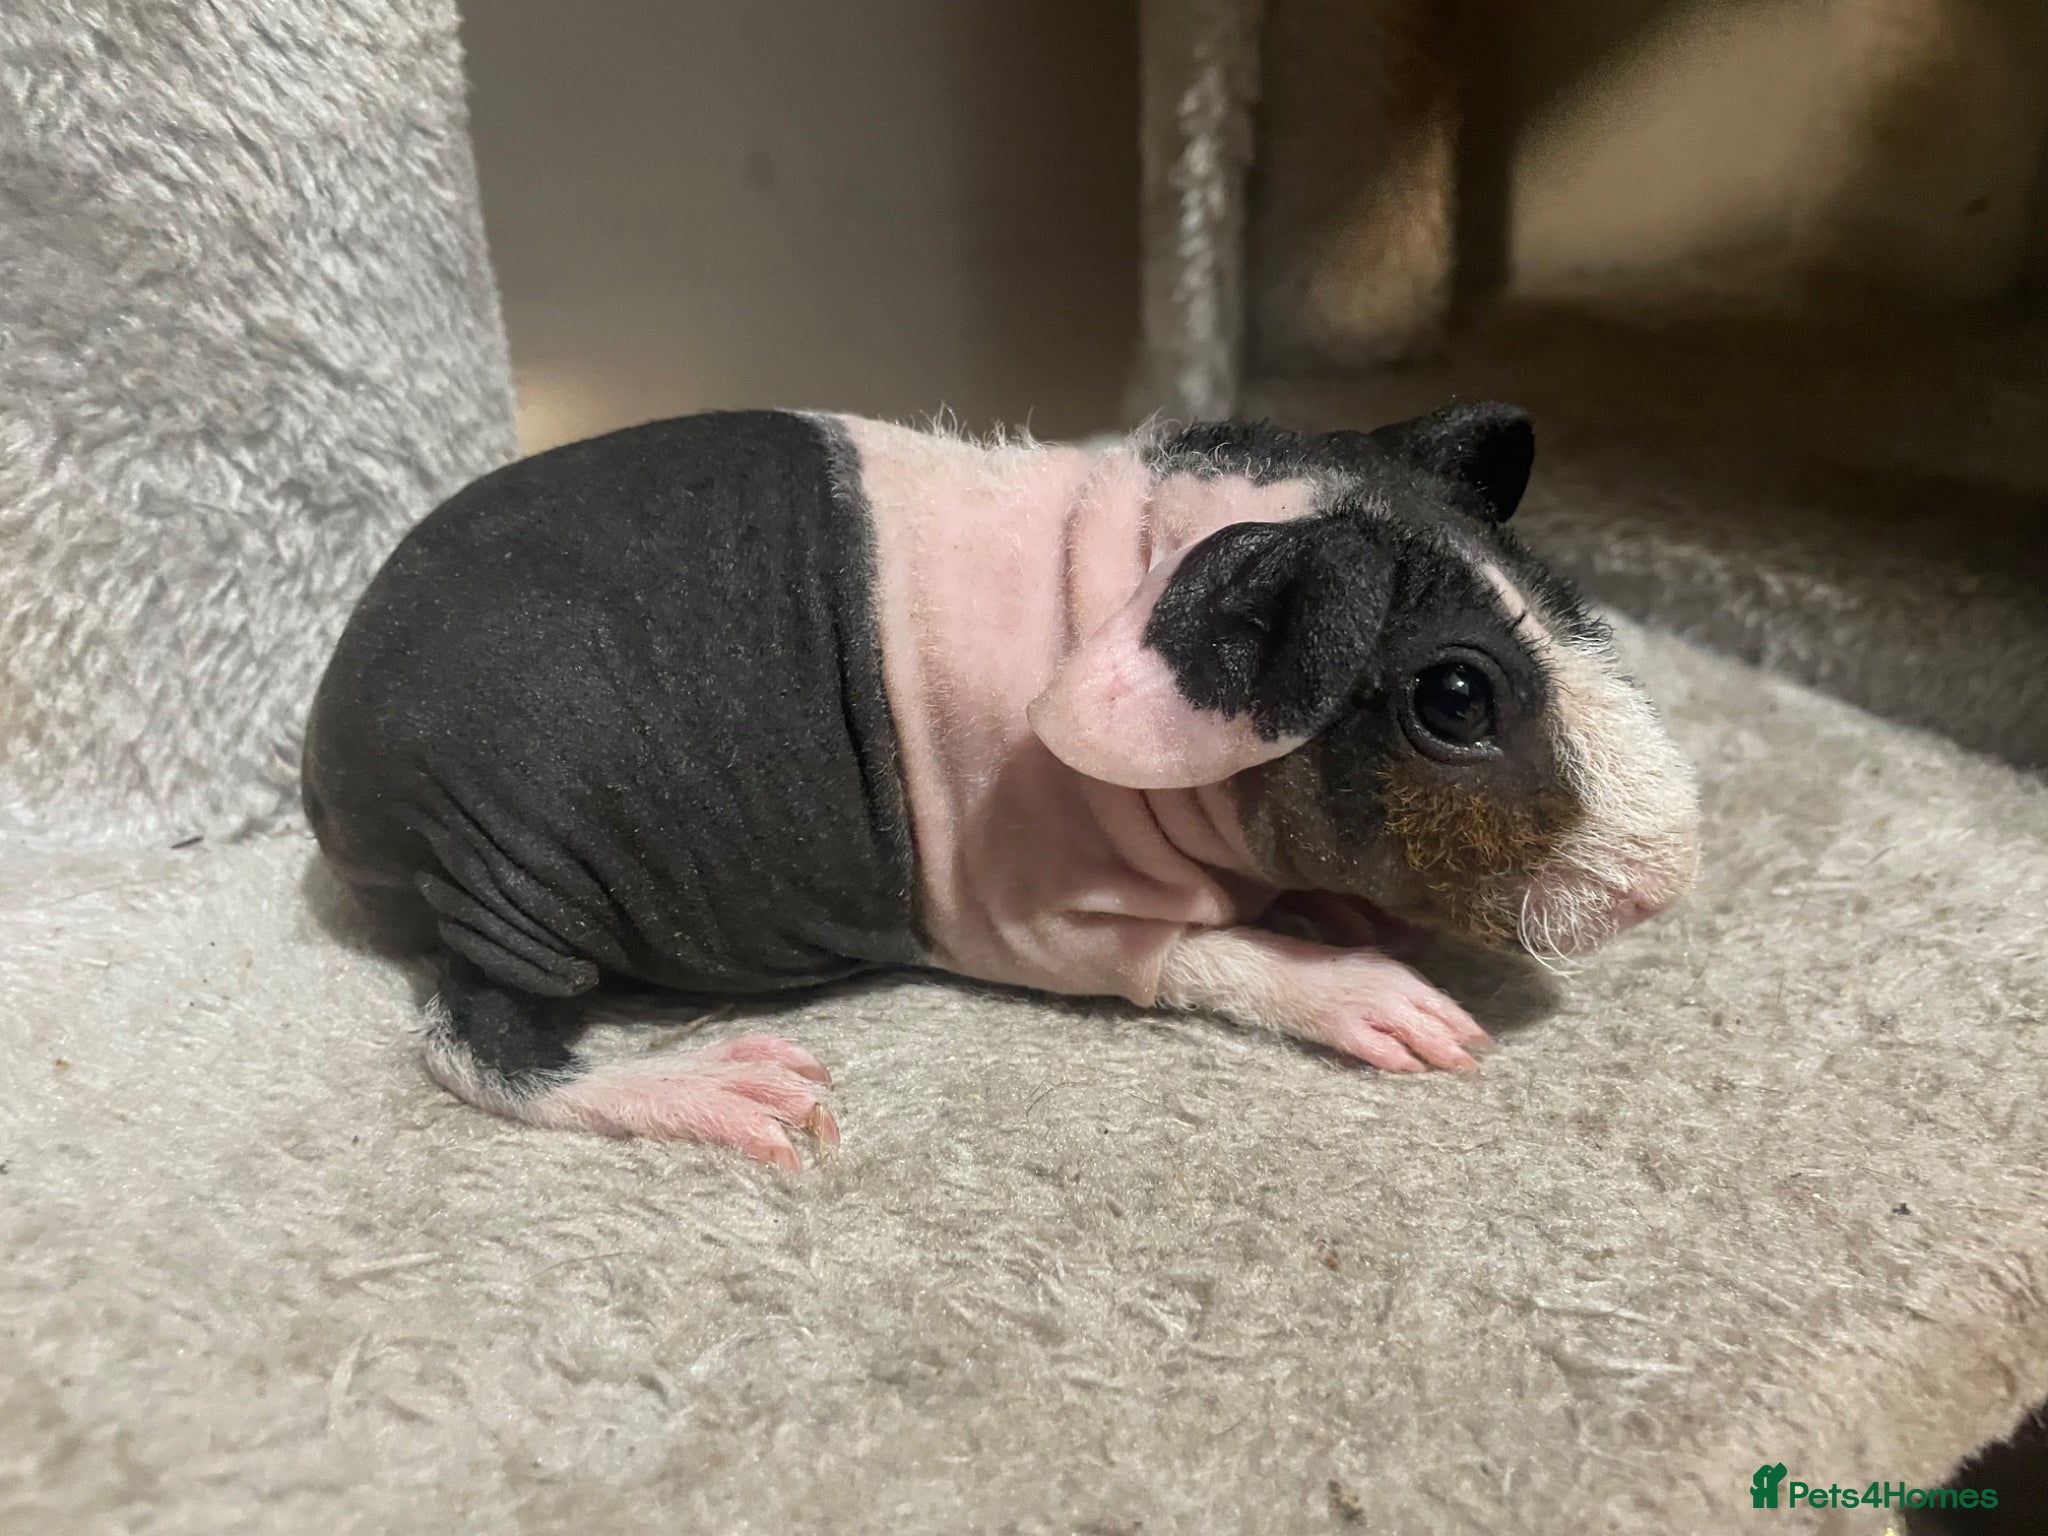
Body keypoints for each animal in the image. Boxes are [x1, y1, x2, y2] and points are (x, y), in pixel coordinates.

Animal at [302, 405, 1700, 1168]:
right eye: (1452, 698)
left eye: (1564, 597)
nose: (1663, 881)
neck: (1118, 576)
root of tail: (328, 756)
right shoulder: (1049, 915)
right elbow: (1203, 953)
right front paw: (1393, 1000)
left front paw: (1334, 908)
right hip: (520, 856)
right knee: (475, 1039)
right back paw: (736, 1091)